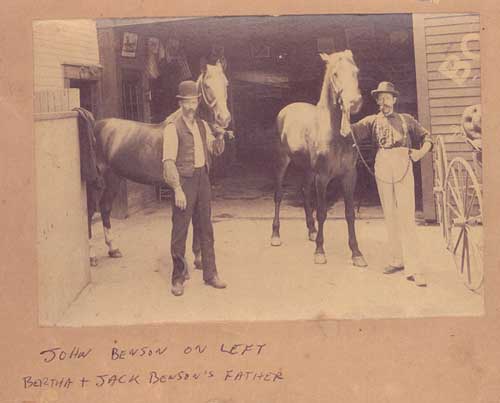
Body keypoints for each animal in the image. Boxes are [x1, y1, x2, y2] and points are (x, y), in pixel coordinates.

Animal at [82, 60, 230, 266]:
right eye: (207, 85)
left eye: (226, 84)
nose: (223, 119)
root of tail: (96, 125)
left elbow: (196, 220)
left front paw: (198, 258)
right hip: (96, 183)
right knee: (89, 212)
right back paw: (92, 256)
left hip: (114, 179)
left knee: (105, 208)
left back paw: (113, 249)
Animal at [270, 49, 368, 268]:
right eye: (335, 74)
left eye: (357, 71)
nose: (354, 102)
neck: (334, 133)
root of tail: (285, 110)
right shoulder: (322, 177)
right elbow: (322, 212)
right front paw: (320, 252)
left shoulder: (350, 176)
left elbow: (349, 214)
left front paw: (357, 253)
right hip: (282, 161)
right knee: (278, 195)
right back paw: (275, 235)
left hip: (307, 169)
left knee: (305, 191)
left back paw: (311, 230)